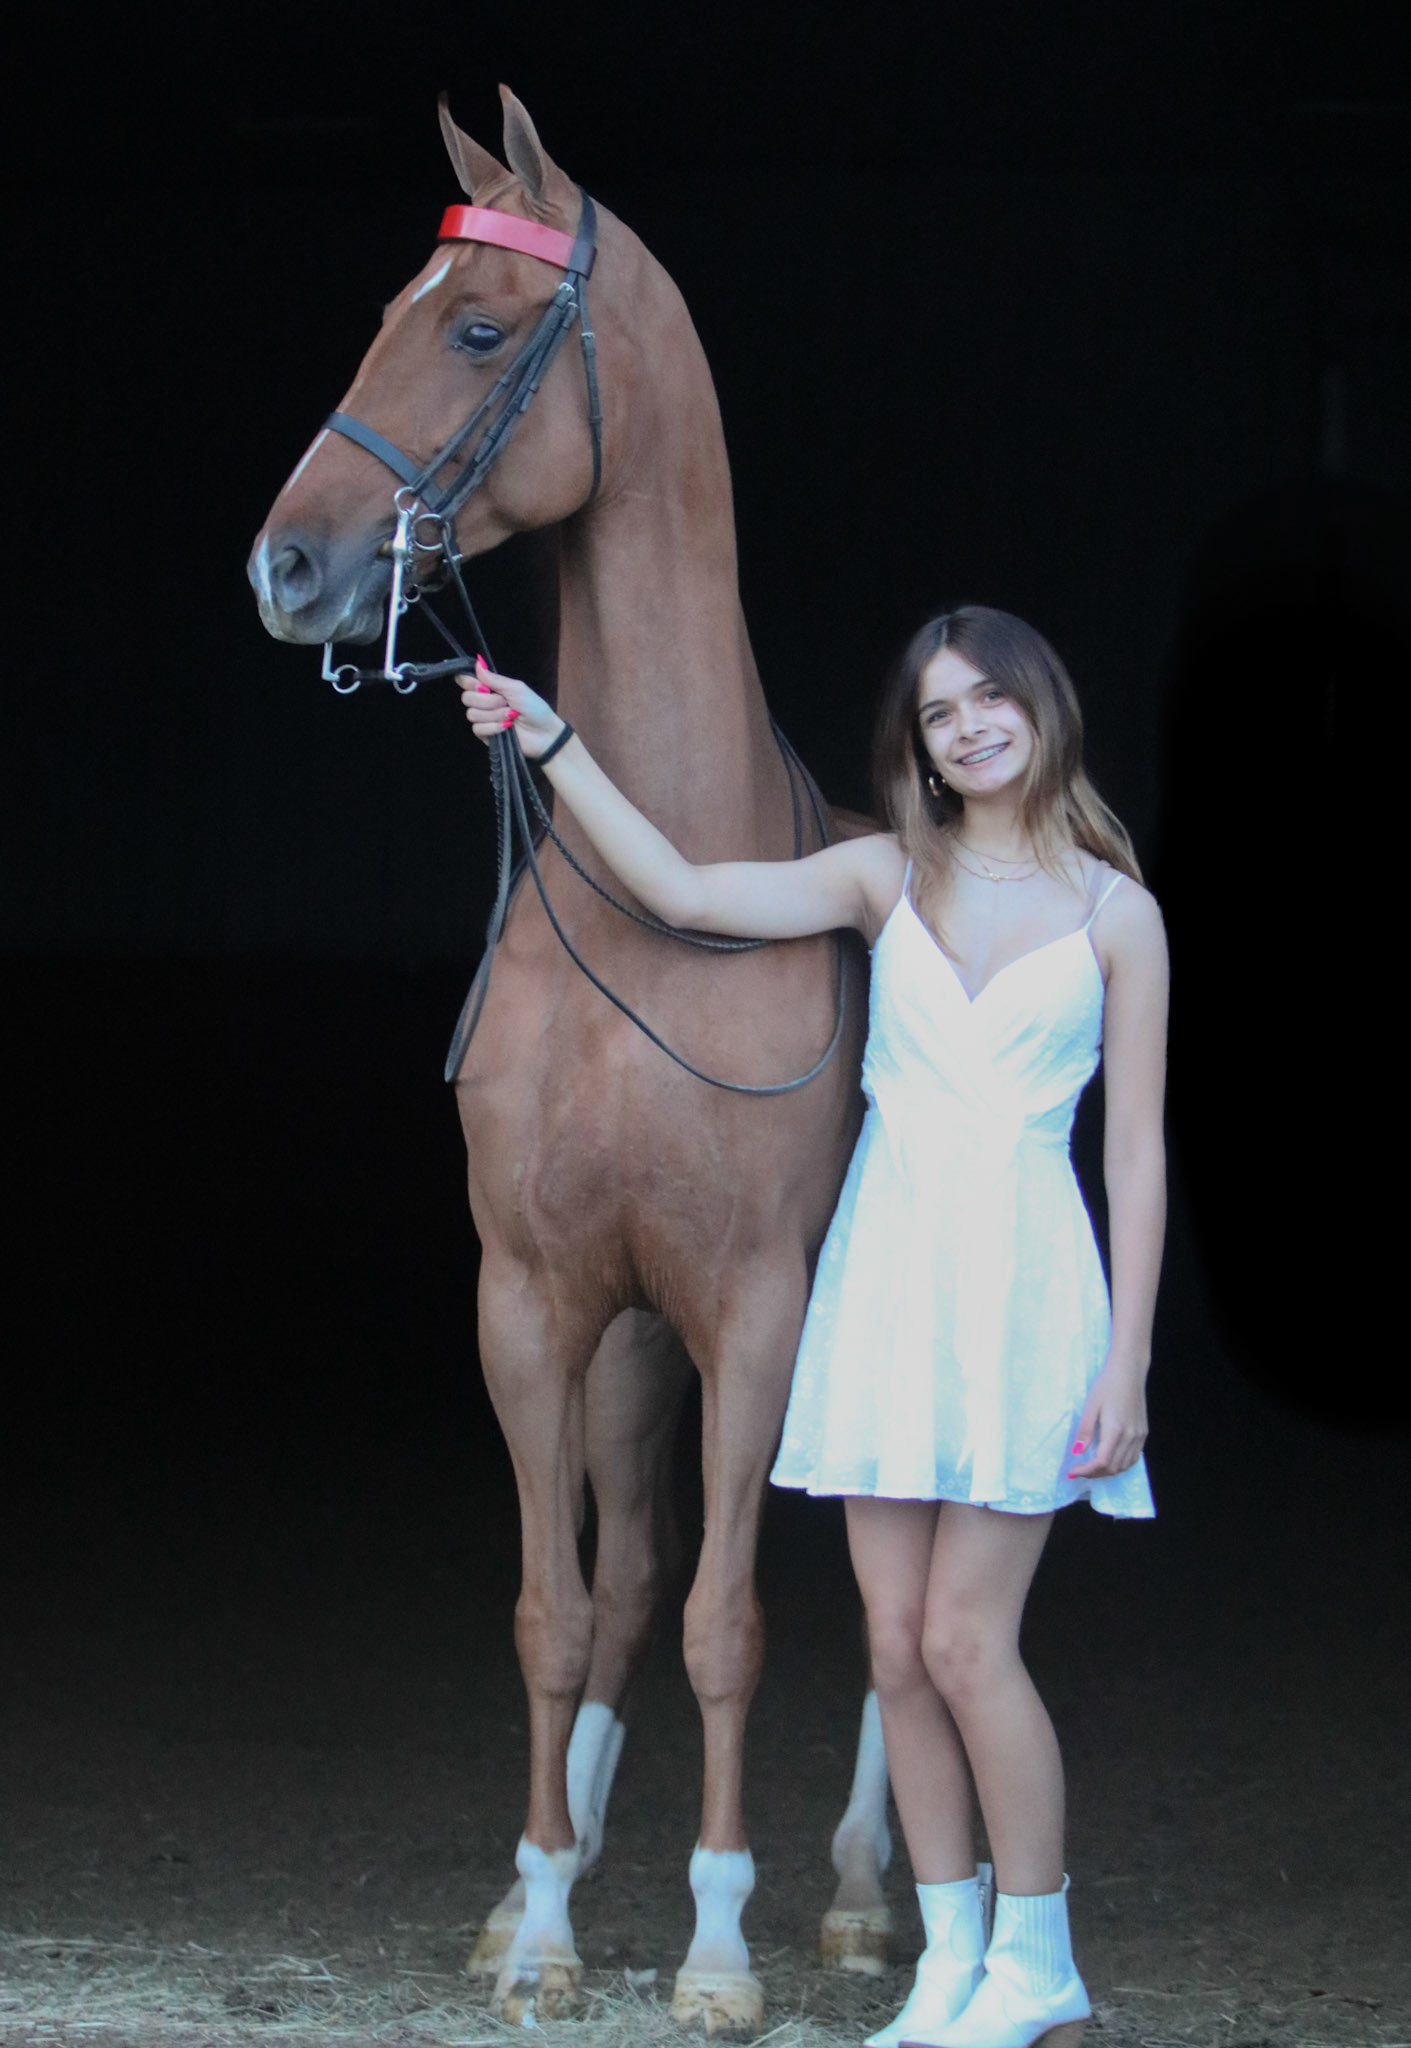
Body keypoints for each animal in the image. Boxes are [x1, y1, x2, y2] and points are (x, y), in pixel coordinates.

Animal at [249, 85, 892, 2035]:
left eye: (474, 329)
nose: (285, 567)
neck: (657, 882)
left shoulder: (755, 1310)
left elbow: (730, 1625)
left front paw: (716, 1944)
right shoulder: (537, 1301)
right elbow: (561, 1605)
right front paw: (535, 1915)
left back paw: (860, 1891)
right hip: (626, 1352)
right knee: (623, 1586)